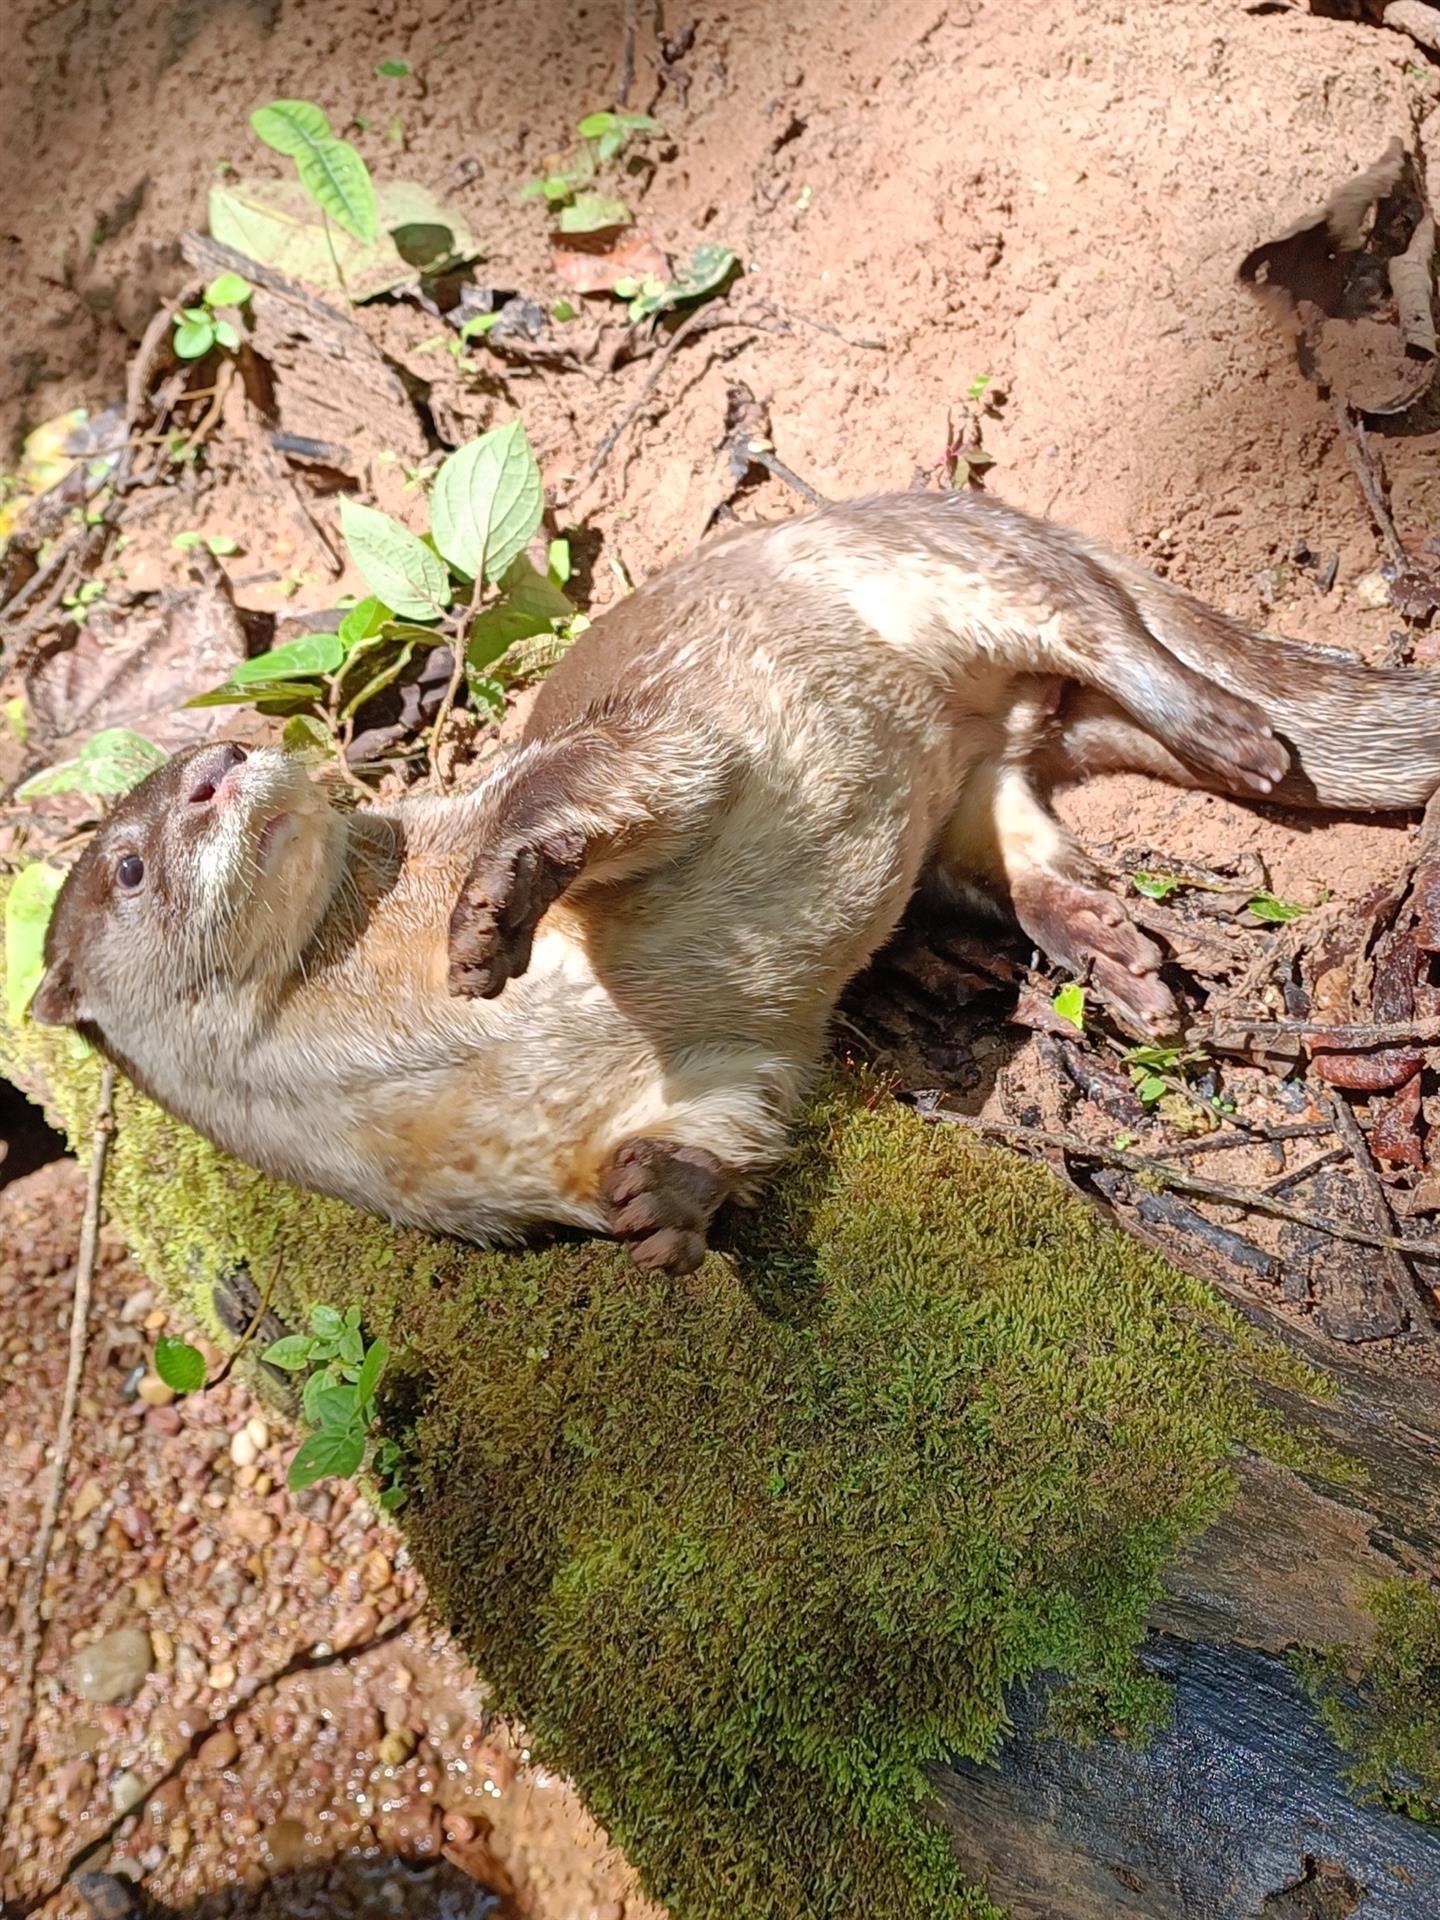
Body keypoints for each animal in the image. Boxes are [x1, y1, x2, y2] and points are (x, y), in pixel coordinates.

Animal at [30, 495, 1440, 1274]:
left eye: (195, 769)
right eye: (131, 862)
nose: (218, 761)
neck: (401, 1040)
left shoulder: (635, 755)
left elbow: (603, 785)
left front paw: (492, 911)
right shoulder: (603, 1122)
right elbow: (737, 1115)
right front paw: (665, 1210)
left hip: (969, 565)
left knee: (1117, 637)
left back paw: (1238, 737)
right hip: (980, 789)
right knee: (1021, 837)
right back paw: (1118, 959)